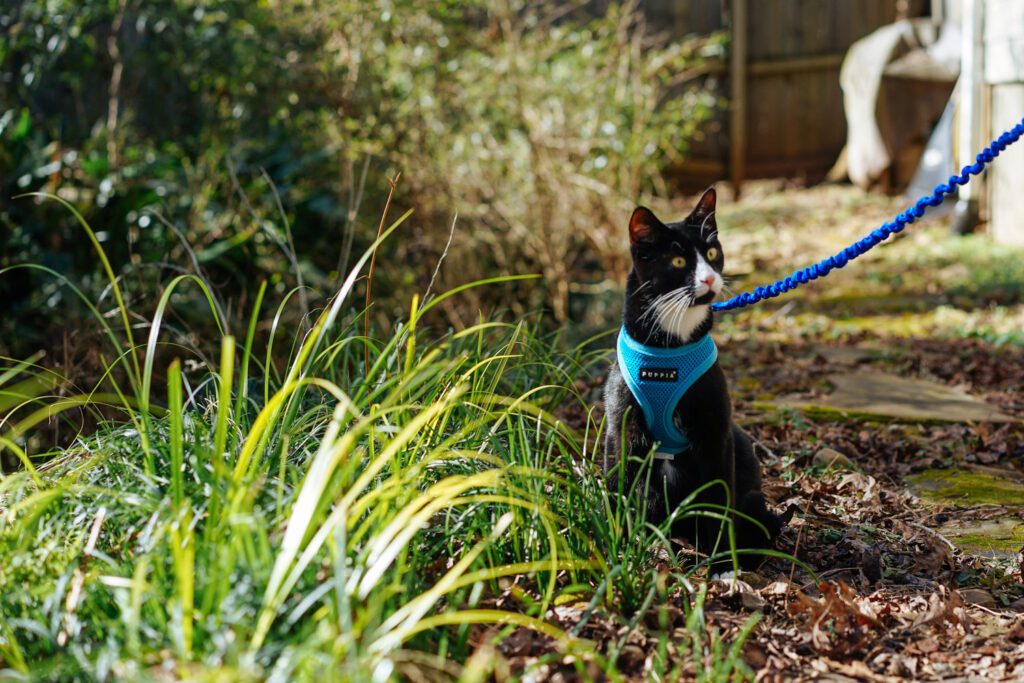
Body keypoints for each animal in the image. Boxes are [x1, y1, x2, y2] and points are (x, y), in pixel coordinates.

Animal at [602, 187, 778, 573]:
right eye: (679, 261)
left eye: (712, 253)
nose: (709, 279)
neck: (668, 349)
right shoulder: (621, 425)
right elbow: (619, 482)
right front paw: (616, 544)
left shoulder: (715, 430)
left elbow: (718, 498)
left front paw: (722, 563)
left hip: (750, 485)